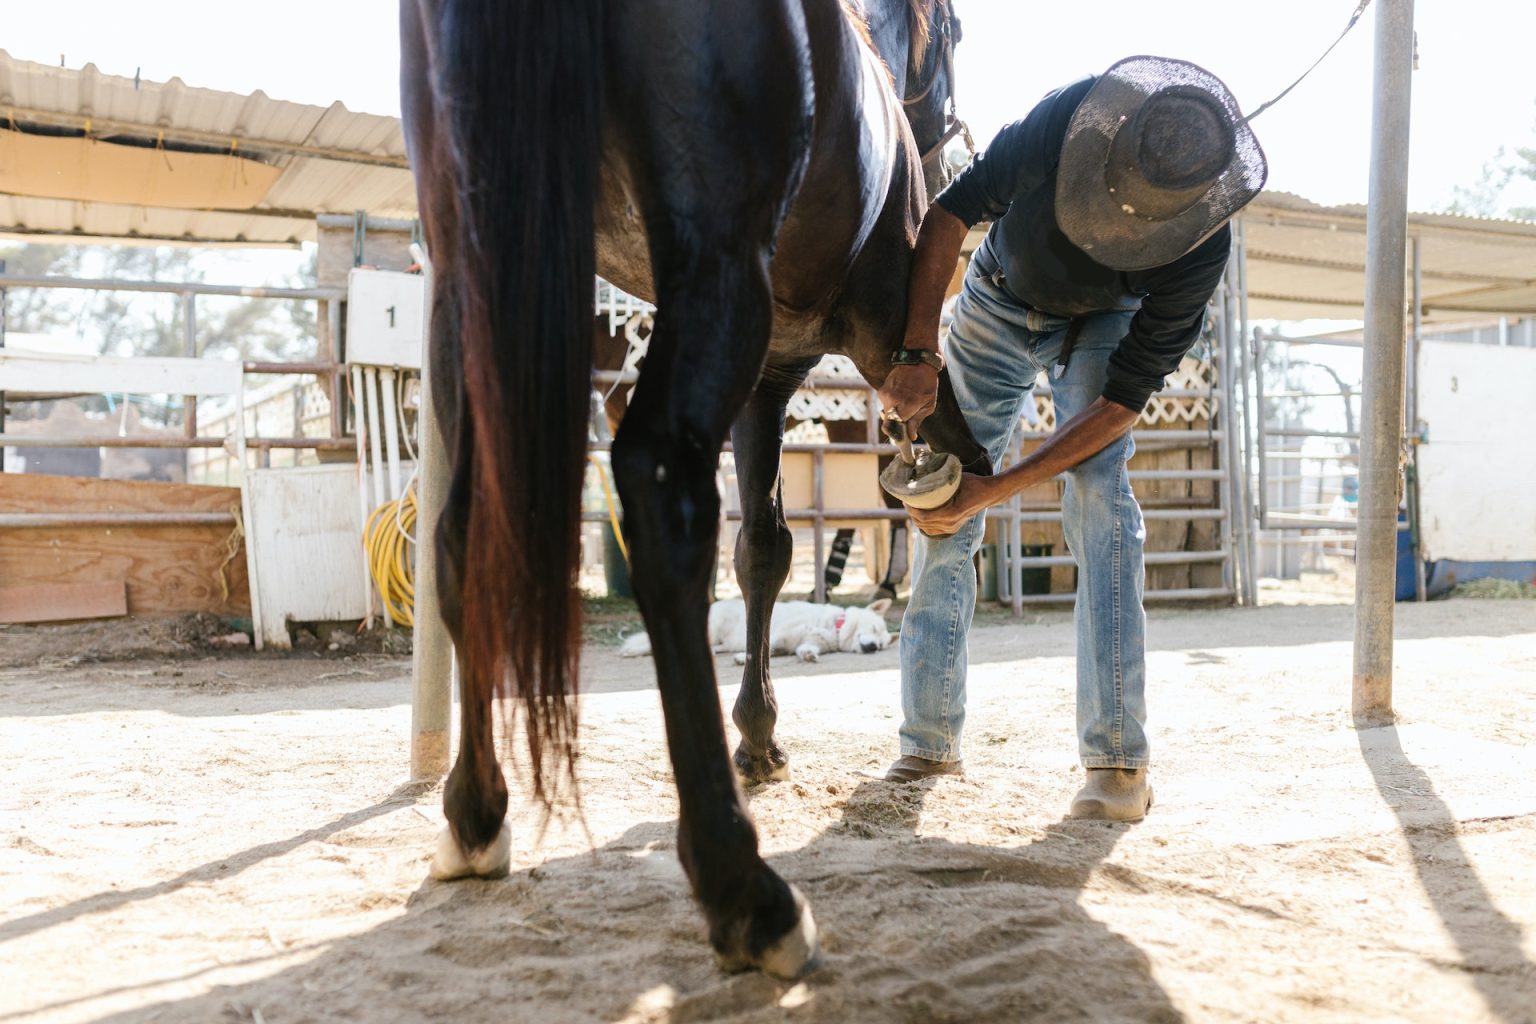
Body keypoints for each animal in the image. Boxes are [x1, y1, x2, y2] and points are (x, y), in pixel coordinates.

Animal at [400, 0, 987, 977]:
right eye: (956, 34)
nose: (951, 162)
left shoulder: (769, 381)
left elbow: (763, 551)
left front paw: (760, 735)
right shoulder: (862, 349)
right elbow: (938, 471)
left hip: (474, 290)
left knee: (461, 535)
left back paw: (476, 817)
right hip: (715, 276)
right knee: (663, 499)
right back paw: (745, 890)